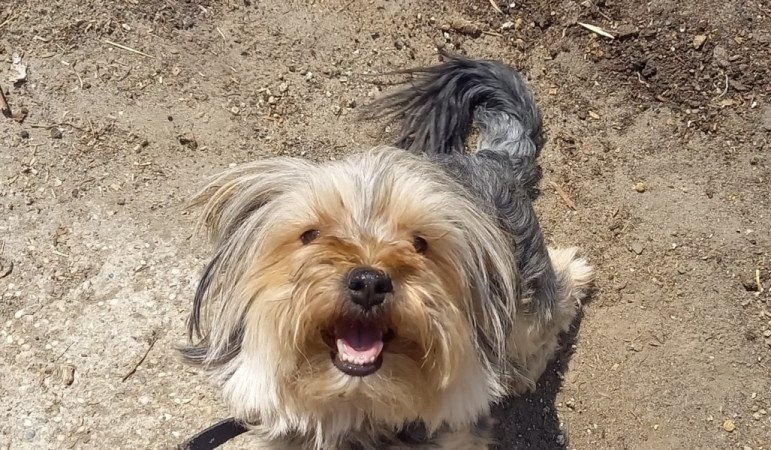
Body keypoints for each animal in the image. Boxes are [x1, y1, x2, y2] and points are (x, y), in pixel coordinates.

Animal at [181, 54, 592, 448]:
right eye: (310, 234)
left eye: (420, 244)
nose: (368, 282)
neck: (359, 409)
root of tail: (492, 159)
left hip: (525, 296)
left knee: (553, 300)